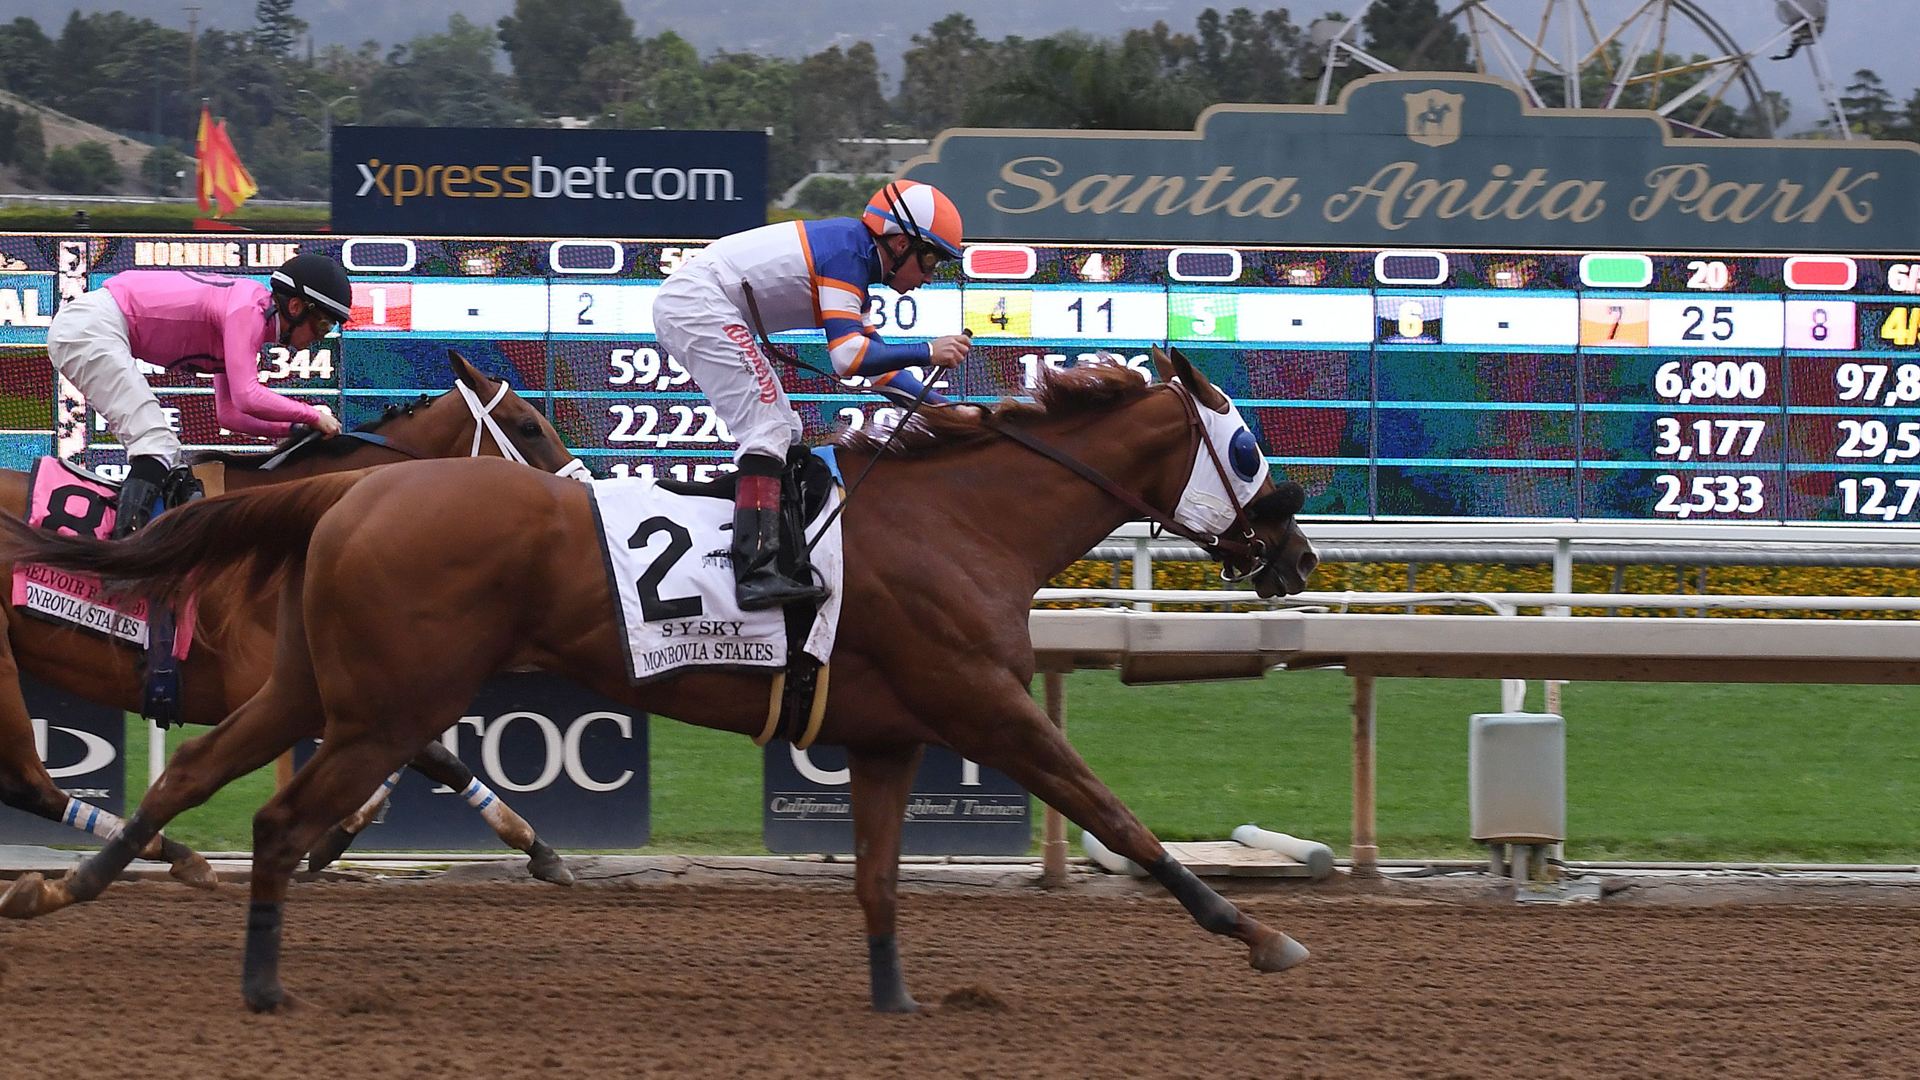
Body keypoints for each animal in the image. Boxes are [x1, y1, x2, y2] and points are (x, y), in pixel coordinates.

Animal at [0, 349, 579, 887]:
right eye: (529, 426)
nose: (578, 492)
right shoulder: (278, 688)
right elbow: (433, 754)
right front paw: (535, 845)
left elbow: (427, 753)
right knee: (28, 783)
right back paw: (178, 856)